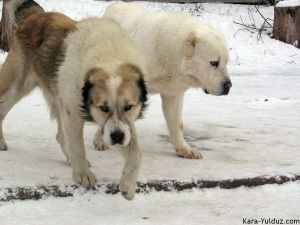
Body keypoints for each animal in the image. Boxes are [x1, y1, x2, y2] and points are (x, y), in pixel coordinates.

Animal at [96, 2, 232, 159]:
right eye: (214, 63)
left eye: (226, 62)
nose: (228, 85)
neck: (170, 54)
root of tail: (115, 5)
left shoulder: (173, 92)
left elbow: (177, 124)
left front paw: (184, 149)